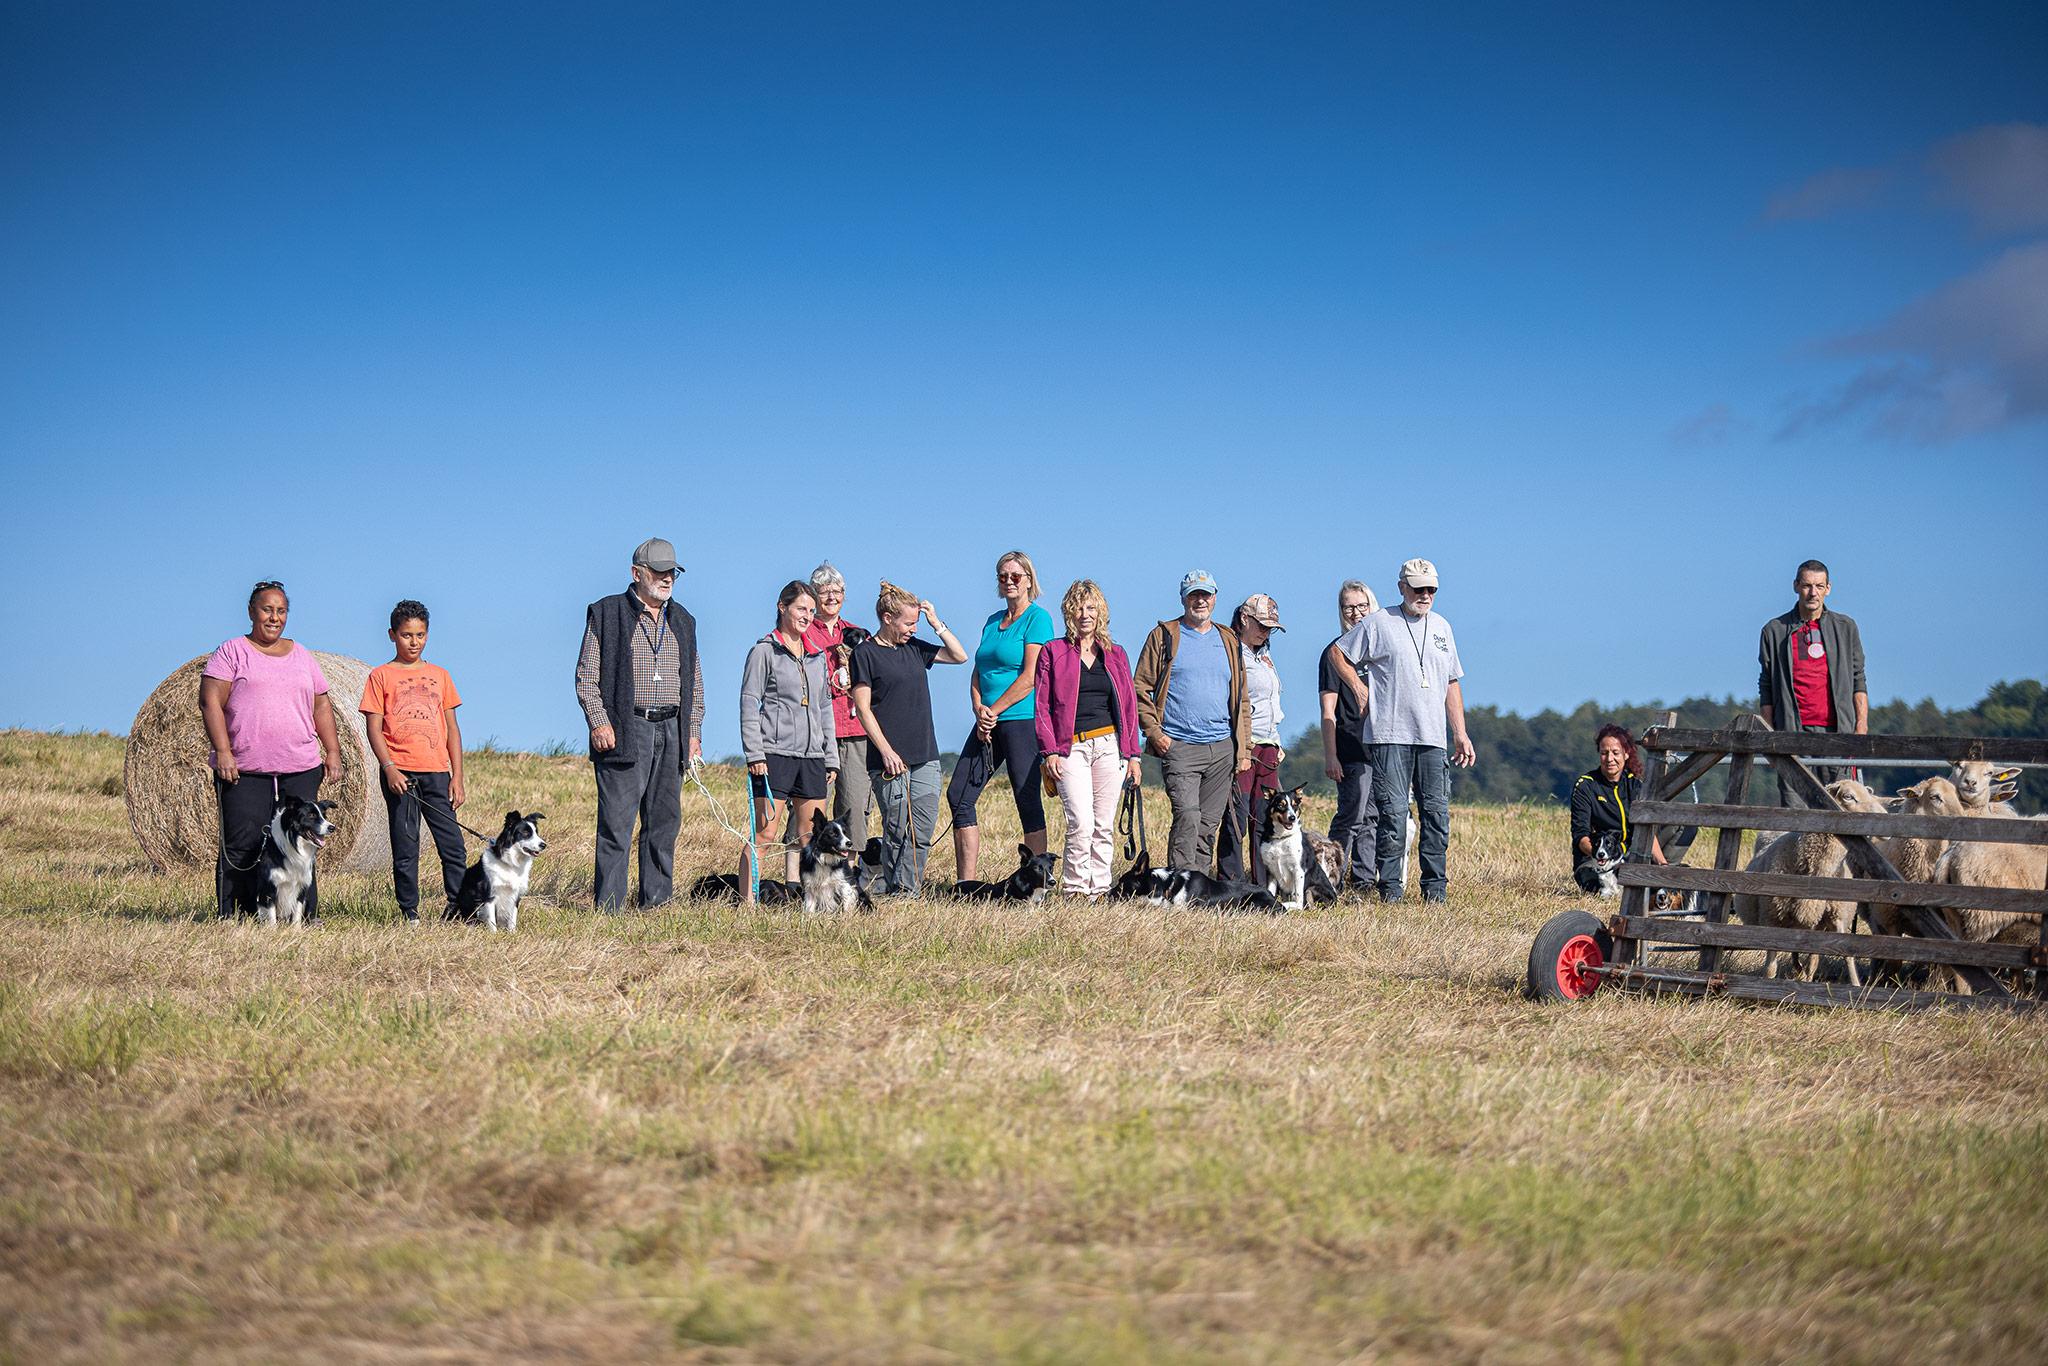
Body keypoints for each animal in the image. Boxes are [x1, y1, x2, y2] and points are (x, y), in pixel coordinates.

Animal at [256, 790, 335, 929]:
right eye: (311, 815)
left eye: (324, 816)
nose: (332, 827)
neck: (295, 843)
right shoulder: (269, 888)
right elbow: (271, 915)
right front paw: (272, 931)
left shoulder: (301, 887)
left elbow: (297, 913)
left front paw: (296, 930)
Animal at [1728, 778, 1884, 983]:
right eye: (1849, 796)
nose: (1883, 817)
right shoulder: (1771, 917)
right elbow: (1770, 967)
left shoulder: (1836, 917)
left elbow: (1845, 954)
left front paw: (1856, 985)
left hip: (1812, 925)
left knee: (1807, 955)